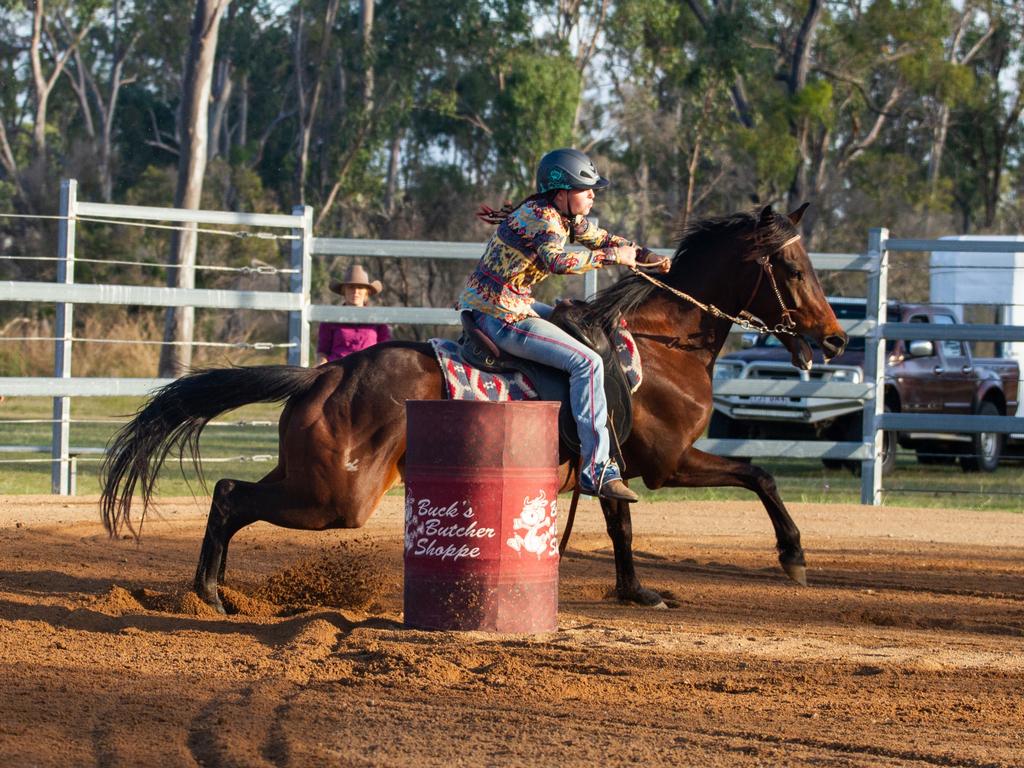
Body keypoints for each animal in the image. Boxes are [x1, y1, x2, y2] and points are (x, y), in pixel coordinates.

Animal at [99, 204, 843, 614]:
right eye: (794, 269)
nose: (834, 337)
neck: (661, 347)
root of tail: (326, 371)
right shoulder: (669, 462)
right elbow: (760, 475)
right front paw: (795, 555)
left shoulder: (614, 467)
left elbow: (623, 527)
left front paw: (637, 592)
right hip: (336, 496)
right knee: (232, 496)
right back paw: (209, 592)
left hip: (313, 478)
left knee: (229, 492)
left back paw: (212, 591)